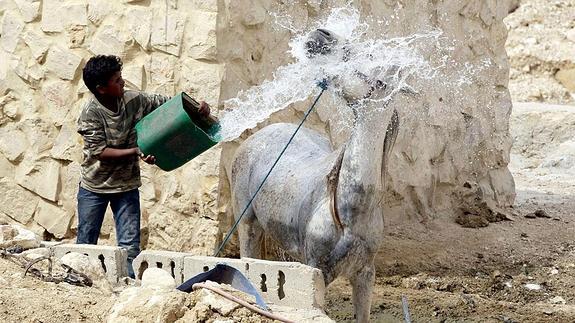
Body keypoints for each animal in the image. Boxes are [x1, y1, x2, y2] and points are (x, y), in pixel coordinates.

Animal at [227, 29, 398, 322]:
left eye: (367, 55)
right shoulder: (317, 270)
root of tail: (260, 135)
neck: (352, 208)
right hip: (247, 224)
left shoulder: (365, 275)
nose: (321, 34)